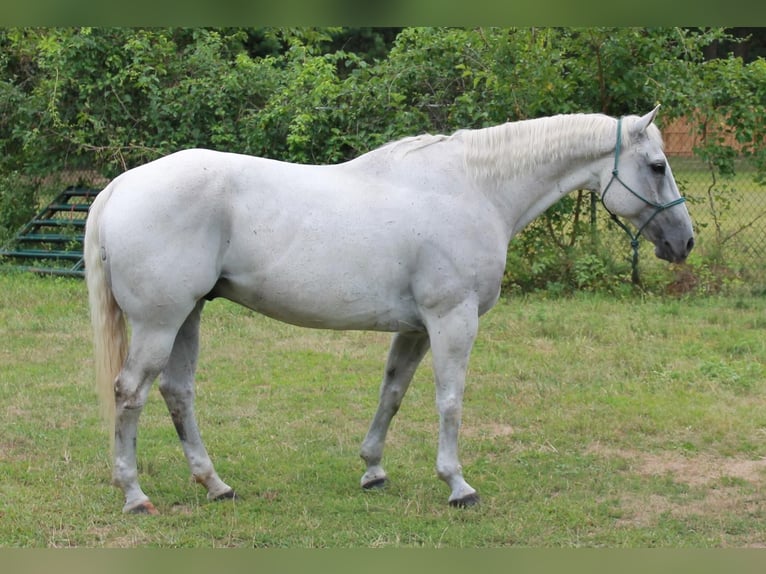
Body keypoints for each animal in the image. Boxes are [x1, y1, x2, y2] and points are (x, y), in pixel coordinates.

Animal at [84, 106, 694, 514]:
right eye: (657, 165)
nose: (684, 242)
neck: (474, 189)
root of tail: (118, 187)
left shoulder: (417, 328)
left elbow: (393, 393)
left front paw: (373, 470)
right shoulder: (452, 319)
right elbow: (450, 401)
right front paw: (458, 485)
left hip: (186, 317)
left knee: (177, 393)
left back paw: (215, 484)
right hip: (160, 323)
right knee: (130, 394)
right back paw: (134, 493)